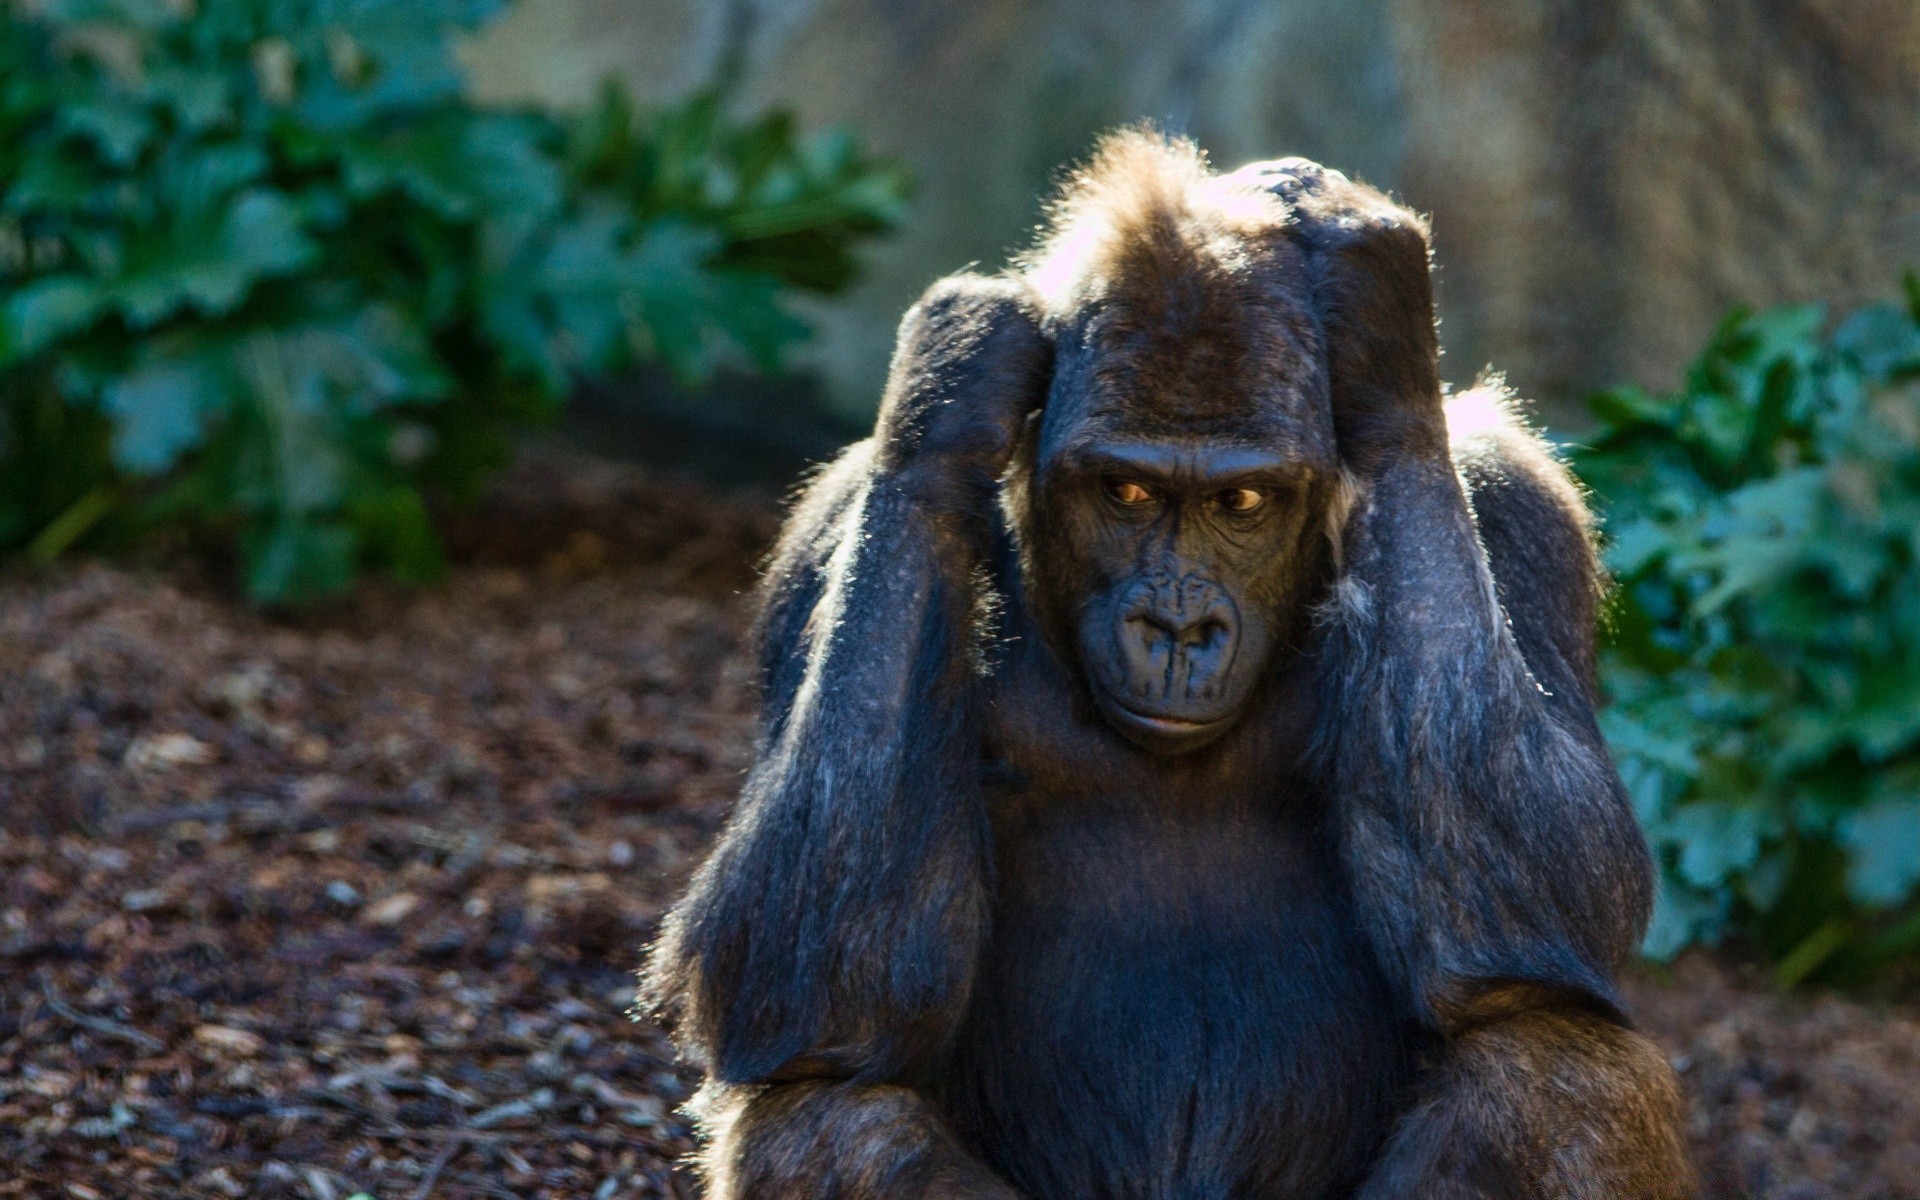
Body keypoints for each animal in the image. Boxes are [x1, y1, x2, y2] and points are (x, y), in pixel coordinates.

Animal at [648, 130, 1697, 1198]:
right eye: (1126, 491)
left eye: (1241, 503)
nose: (1178, 628)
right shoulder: (834, 525)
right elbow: (800, 981)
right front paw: (949, 387)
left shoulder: (1516, 504)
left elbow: (1564, 885)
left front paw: (1383, 334)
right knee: (831, 1116)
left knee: (1553, 1064)